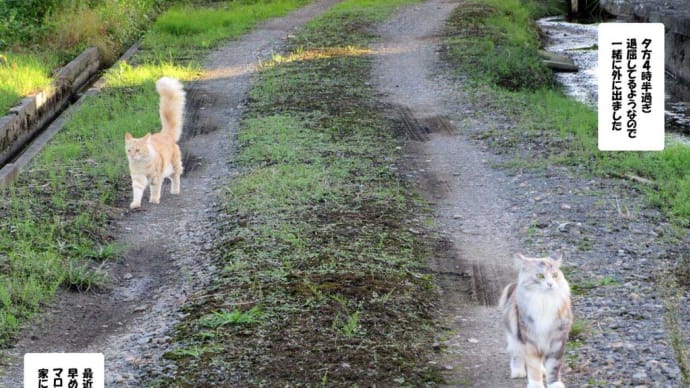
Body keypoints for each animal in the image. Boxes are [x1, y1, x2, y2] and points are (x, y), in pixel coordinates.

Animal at [123, 76, 183, 209]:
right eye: (129, 150)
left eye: (137, 150)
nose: (132, 156)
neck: (142, 164)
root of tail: (165, 134)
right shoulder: (138, 179)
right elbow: (137, 193)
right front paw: (135, 204)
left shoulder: (156, 177)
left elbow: (155, 190)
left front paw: (154, 200)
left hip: (174, 166)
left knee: (176, 177)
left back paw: (175, 191)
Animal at [498, 252, 572, 388]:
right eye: (540, 276)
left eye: (555, 275)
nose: (550, 284)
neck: (544, 301)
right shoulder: (530, 338)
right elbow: (533, 366)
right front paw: (536, 384)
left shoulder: (557, 339)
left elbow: (553, 366)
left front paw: (554, 383)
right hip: (515, 335)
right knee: (516, 354)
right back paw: (518, 371)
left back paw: (543, 370)